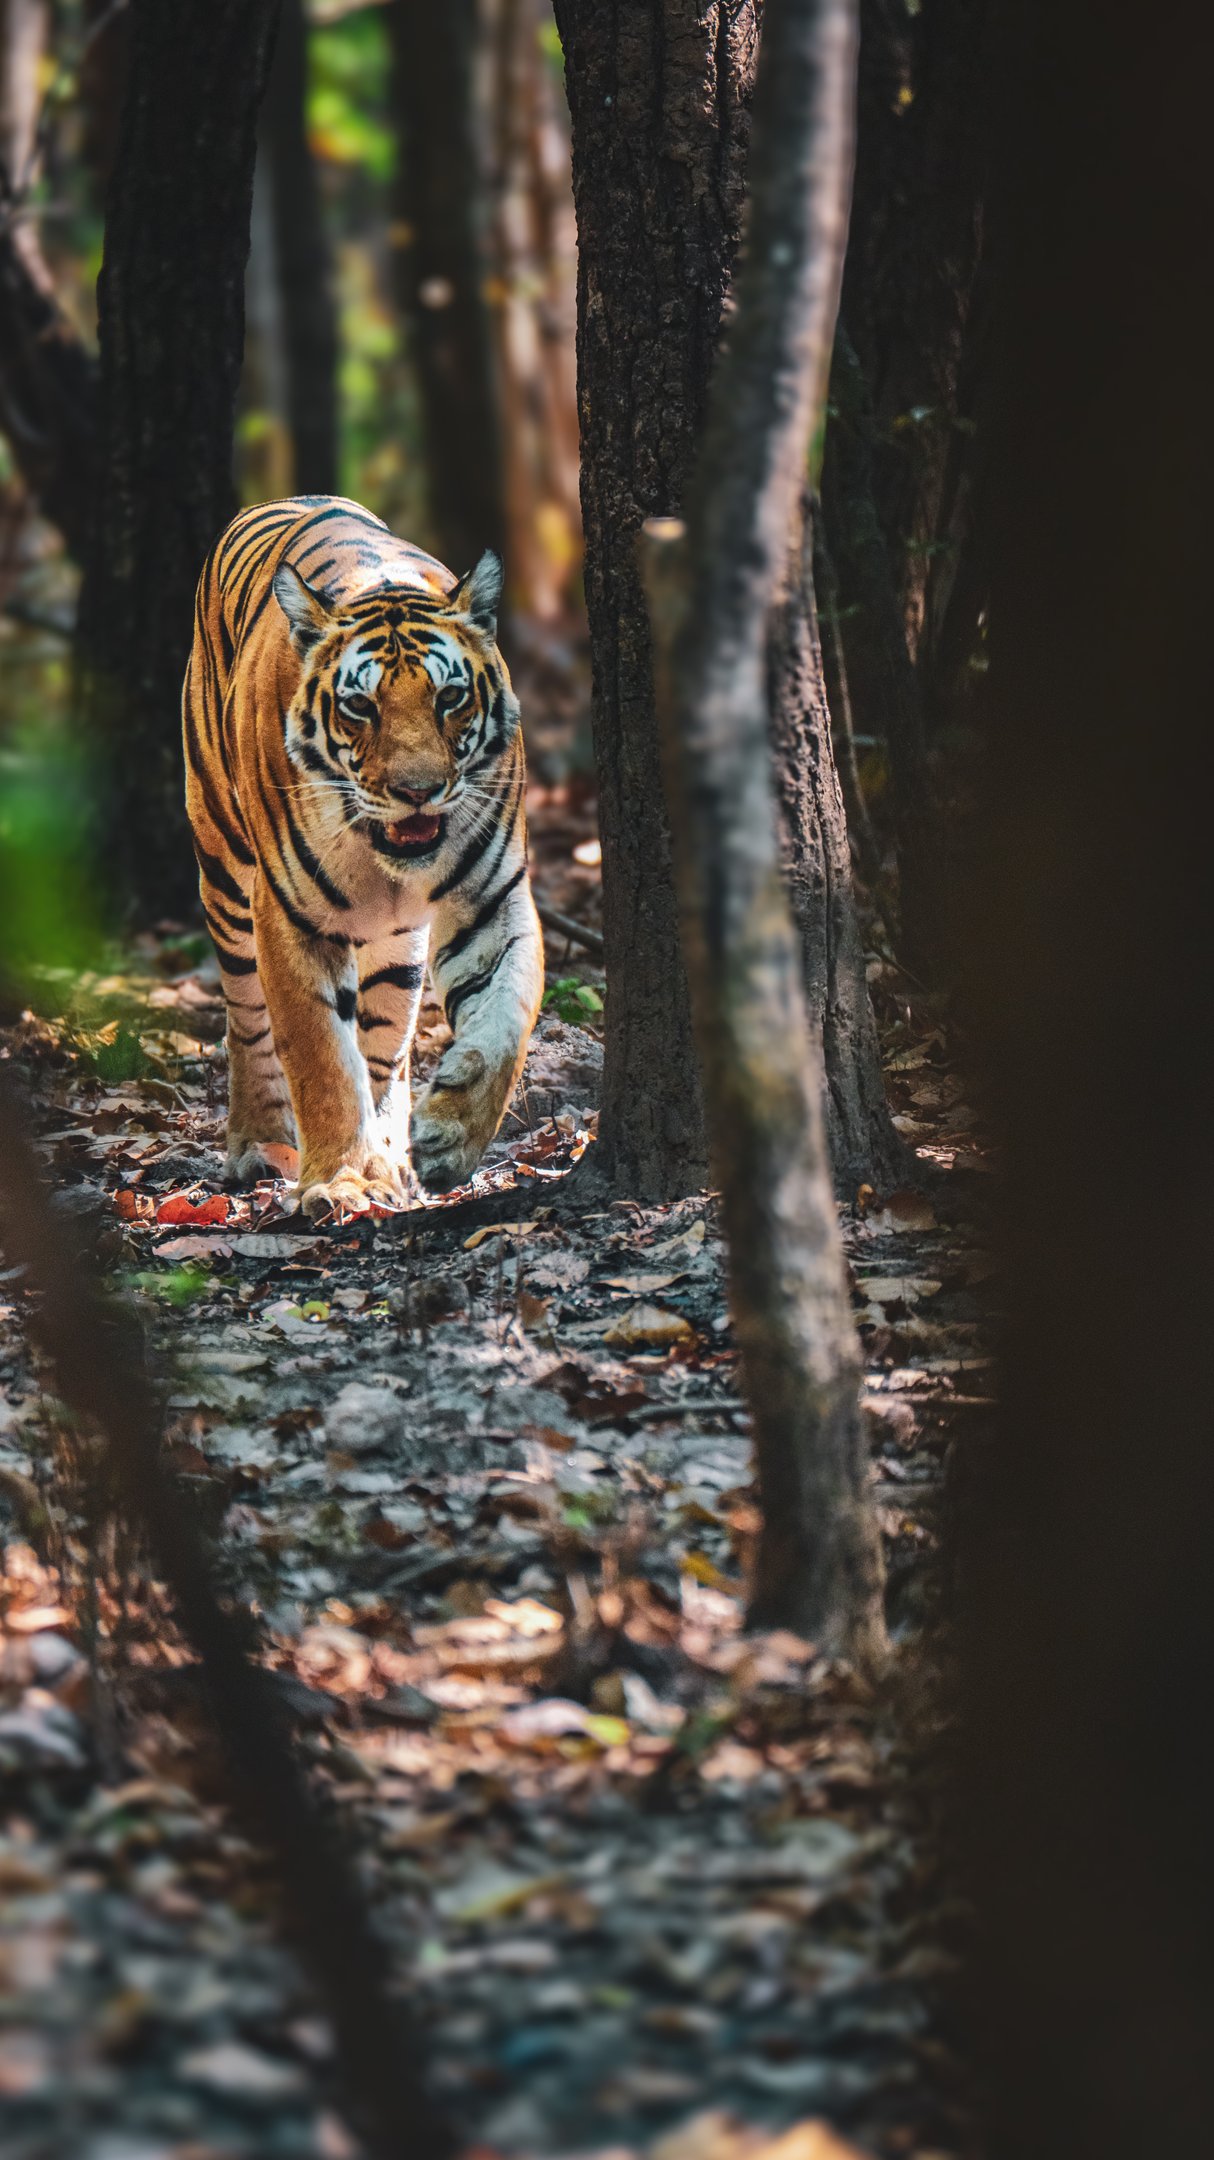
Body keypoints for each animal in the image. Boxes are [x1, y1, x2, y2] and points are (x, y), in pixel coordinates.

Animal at [182, 495, 543, 1220]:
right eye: (358, 706)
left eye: (449, 697)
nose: (417, 791)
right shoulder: (291, 915)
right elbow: (319, 1053)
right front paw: (337, 1180)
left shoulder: (493, 899)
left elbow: (504, 1020)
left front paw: (448, 1139)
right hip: (223, 871)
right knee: (245, 1019)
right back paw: (260, 1144)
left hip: (396, 949)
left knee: (386, 1045)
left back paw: (392, 1160)